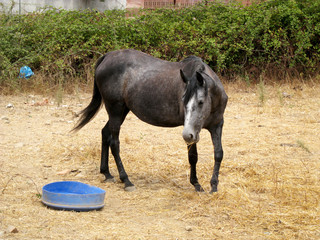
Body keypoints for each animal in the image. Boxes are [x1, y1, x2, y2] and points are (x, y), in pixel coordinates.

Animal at [72, 49, 228, 193]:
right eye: (183, 101)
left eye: (200, 102)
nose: (186, 135)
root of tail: (107, 57)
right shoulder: (192, 131)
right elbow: (193, 156)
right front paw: (196, 184)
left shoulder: (216, 125)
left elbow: (218, 153)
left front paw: (214, 186)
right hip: (115, 110)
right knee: (114, 143)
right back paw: (126, 180)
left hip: (122, 111)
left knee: (105, 133)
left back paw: (107, 173)